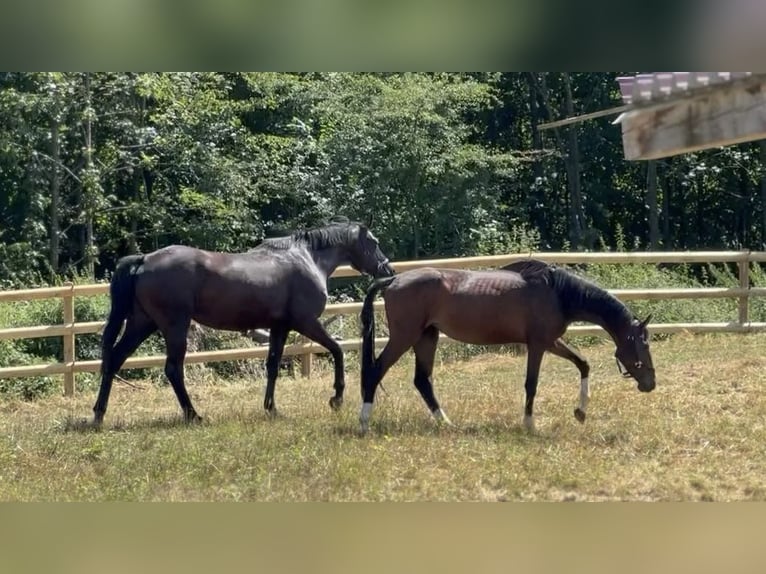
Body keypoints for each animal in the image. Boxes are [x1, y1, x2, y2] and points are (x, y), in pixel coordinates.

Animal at [94, 220, 396, 428]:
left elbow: (272, 366)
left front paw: (271, 408)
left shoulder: (280, 327)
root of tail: (143, 260)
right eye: (374, 241)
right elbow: (337, 350)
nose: (388, 269)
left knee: (115, 360)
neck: (307, 259)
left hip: (142, 324)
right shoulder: (306, 322)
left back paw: (98, 415)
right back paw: (194, 415)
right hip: (174, 326)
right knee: (173, 369)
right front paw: (336, 399)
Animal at [358, 260, 656, 432]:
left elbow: (583, 364)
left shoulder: (551, 342)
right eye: (643, 344)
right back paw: (363, 423)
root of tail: (394, 280)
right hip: (404, 337)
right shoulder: (538, 345)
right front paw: (529, 424)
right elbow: (531, 384)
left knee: (422, 381)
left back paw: (447, 424)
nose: (650, 383)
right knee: (375, 372)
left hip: (426, 337)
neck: (557, 293)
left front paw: (580, 412)